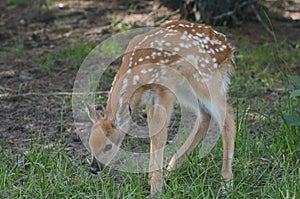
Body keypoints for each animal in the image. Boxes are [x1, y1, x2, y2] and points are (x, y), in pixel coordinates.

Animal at [85, 20, 236, 196]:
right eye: (90, 143)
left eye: (108, 146)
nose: (94, 168)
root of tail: (228, 49)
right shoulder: (151, 97)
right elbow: (153, 133)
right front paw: (152, 180)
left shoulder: (165, 88)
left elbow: (159, 135)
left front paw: (155, 189)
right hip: (187, 89)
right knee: (206, 116)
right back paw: (170, 169)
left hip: (204, 79)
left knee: (228, 116)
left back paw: (226, 184)